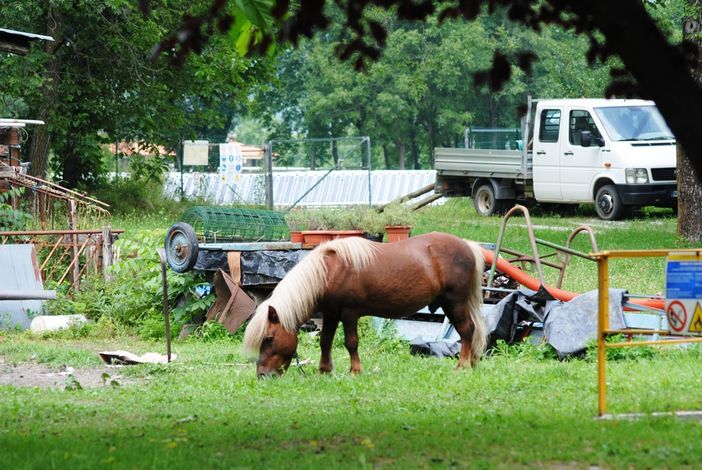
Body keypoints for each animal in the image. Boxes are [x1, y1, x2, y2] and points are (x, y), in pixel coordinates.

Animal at [243, 232, 487, 377]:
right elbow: (325, 341)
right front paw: (325, 371)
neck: (328, 271)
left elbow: (351, 343)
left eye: (269, 338)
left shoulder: (349, 314)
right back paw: (472, 363)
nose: (262, 375)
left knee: (467, 331)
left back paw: (462, 366)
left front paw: (355, 371)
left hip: (455, 303)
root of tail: (467, 245)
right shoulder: (331, 314)